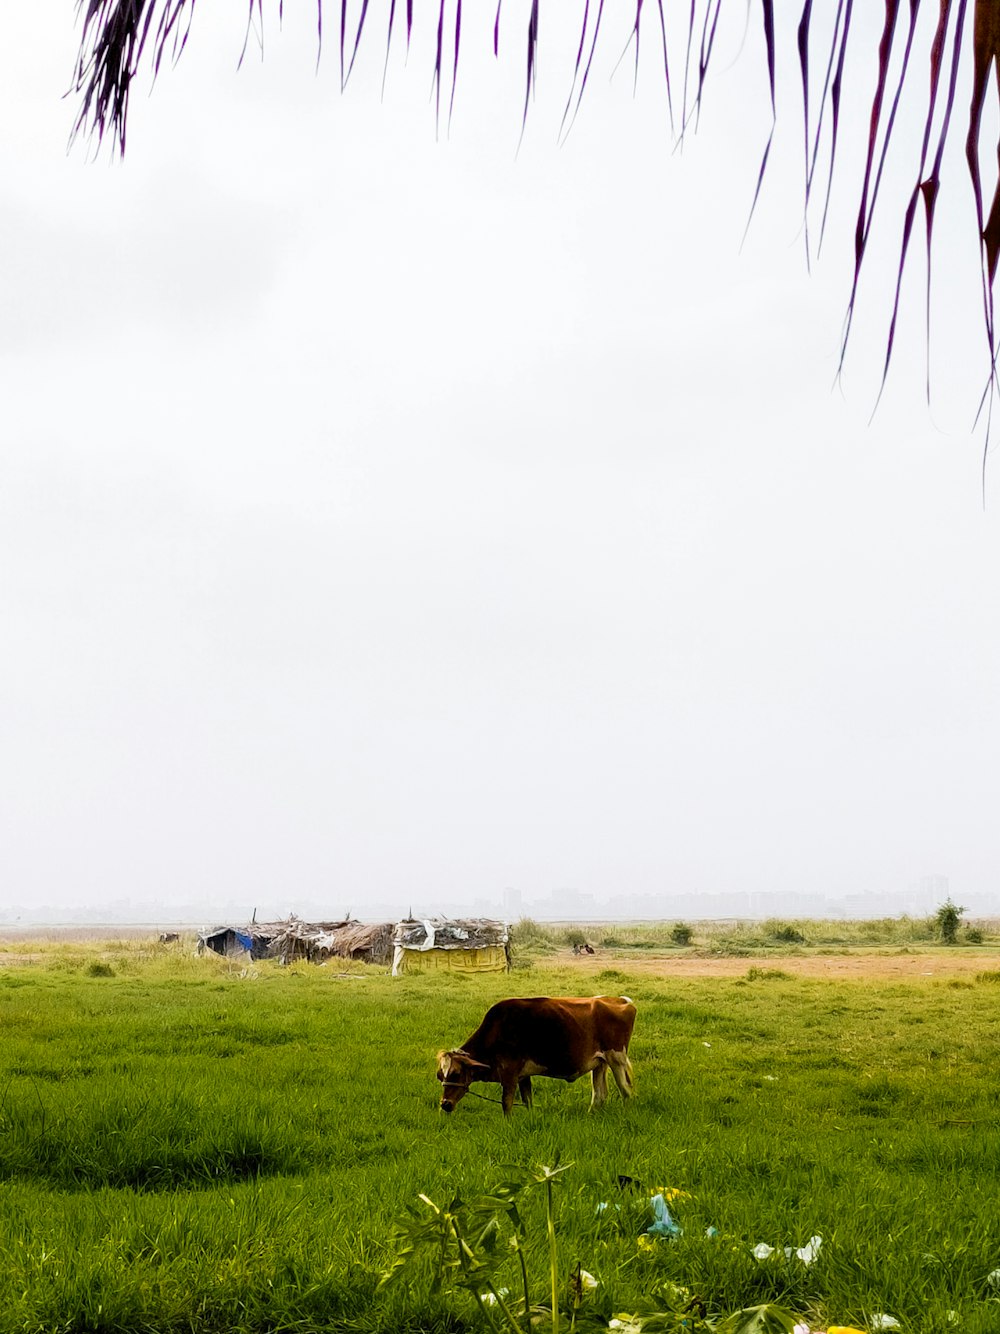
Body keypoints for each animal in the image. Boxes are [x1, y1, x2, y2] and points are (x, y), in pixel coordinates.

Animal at [437, 997, 637, 1109]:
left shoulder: (509, 1073)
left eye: (456, 1073)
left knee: (626, 1091)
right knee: (600, 1095)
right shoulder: (523, 1075)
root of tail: (622, 1000)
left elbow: (506, 1103)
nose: (445, 1104)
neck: (497, 1030)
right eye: (440, 1076)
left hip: (616, 1059)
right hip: (600, 1063)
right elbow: (528, 1101)